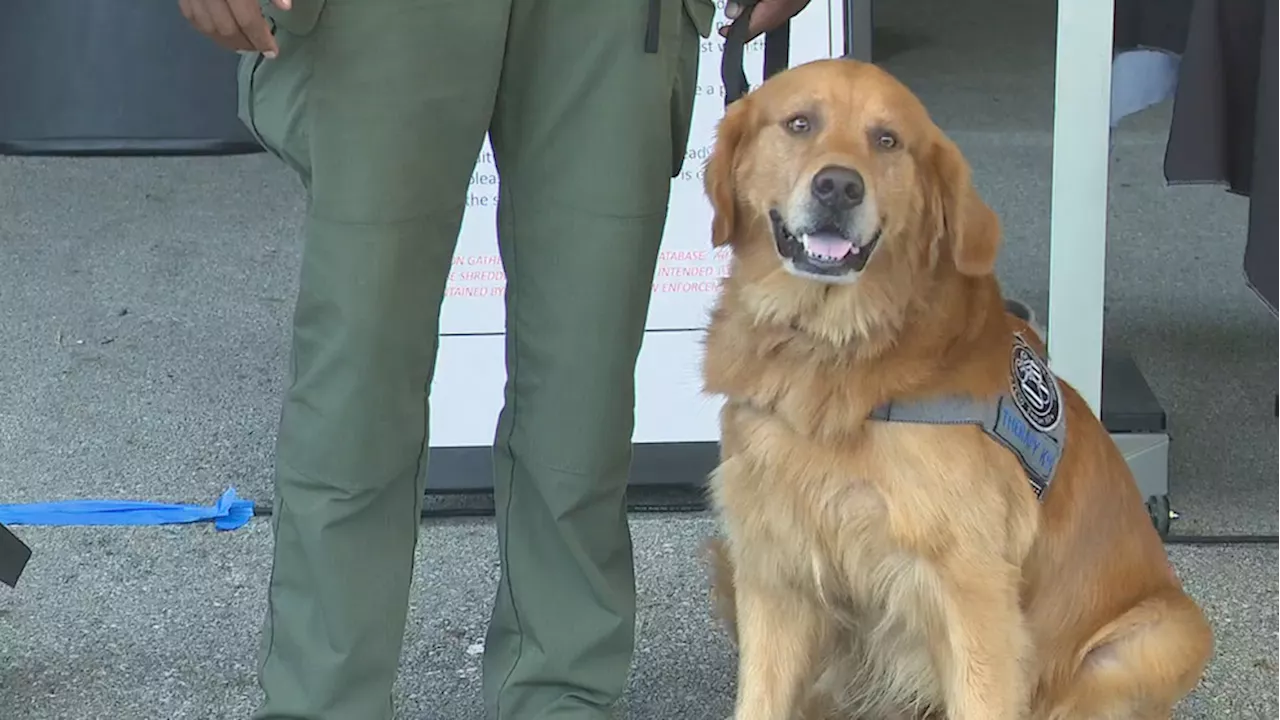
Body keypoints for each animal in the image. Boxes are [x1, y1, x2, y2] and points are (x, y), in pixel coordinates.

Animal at [701, 58, 1208, 717]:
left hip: (1163, 635)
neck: (834, 352)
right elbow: (761, 700)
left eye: (887, 140)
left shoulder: (972, 587)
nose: (839, 187)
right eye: (799, 123)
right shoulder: (772, 568)